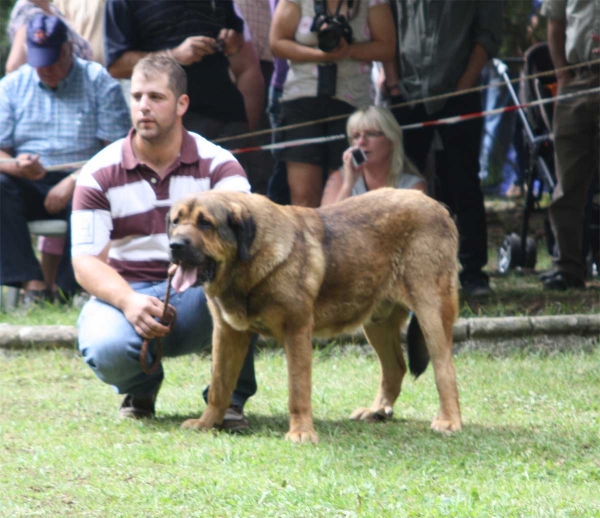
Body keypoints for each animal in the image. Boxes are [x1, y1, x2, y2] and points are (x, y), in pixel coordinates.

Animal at [169, 189, 464, 444]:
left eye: (205, 223)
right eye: (175, 221)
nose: (174, 245)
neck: (247, 265)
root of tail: (438, 205)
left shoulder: (296, 331)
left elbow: (298, 389)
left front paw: (301, 432)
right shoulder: (227, 332)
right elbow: (219, 386)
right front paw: (206, 423)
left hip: (431, 311)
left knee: (445, 368)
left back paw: (449, 421)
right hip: (377, 323)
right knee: (395, 367)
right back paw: (377, 410)